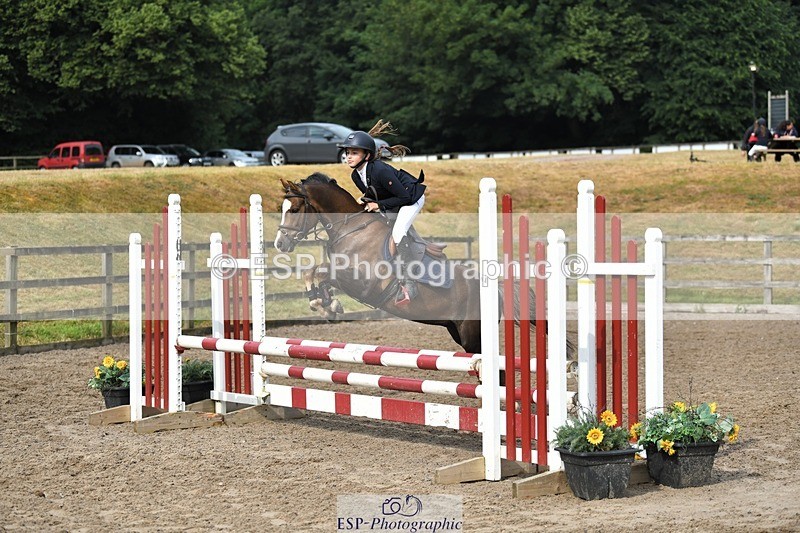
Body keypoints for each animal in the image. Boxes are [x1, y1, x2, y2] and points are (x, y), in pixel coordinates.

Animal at [273, 172, 543, 357]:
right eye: (282, 208)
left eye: (294, 209)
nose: (280, 244)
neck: (351, 228)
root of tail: (495, 290)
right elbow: (313, 271)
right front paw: (322, 303)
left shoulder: (364, 284)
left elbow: (325, 273)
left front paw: (327, 304)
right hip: (457, 332)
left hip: (472, 337)